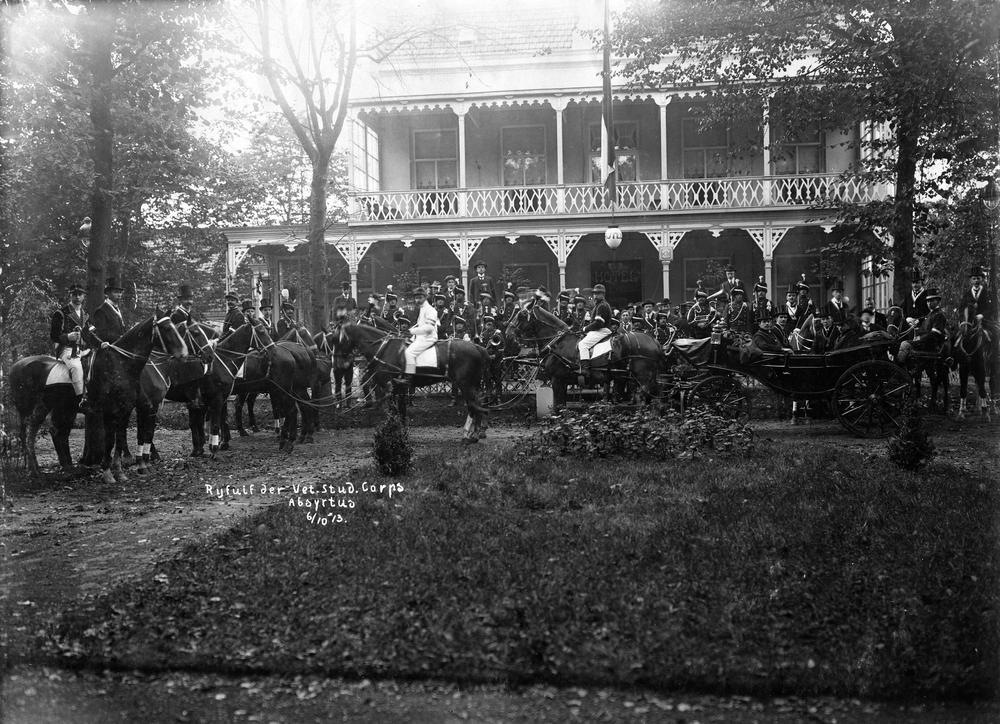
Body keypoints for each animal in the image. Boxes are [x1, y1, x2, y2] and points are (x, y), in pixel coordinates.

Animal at [330, 322, 489, 443]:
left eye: (339, 340)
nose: (337, 364)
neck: (384, 348)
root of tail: (477, 347)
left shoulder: (390, 385)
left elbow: (394, 410)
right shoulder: (398, 386)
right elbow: (400, 410)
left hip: (466, 384)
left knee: (474, 405)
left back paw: (472, 435)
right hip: (472, 384)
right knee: (477, 404)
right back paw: (473, 432)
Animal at [507, 303, 662, 410]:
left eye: (521, 315)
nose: (508, 333)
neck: (559, 343)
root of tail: (653, 340)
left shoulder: (557, 380)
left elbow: (558, 407)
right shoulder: (563, 382)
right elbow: (562, 406)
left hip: (643, 378)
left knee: (643, 397)